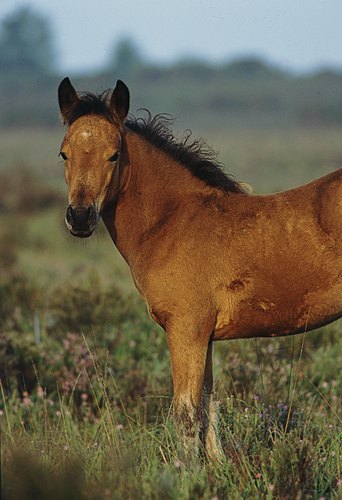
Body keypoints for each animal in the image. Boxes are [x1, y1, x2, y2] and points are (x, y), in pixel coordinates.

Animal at [57, 77, 340, 460]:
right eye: (63, 153)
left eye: (114, 154)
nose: (80, 217)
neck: (173, 221)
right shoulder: (204, 336)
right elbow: (209, 406)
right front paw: (218, 467)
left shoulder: (185, 329)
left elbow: (187, 413)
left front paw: (186, 471)